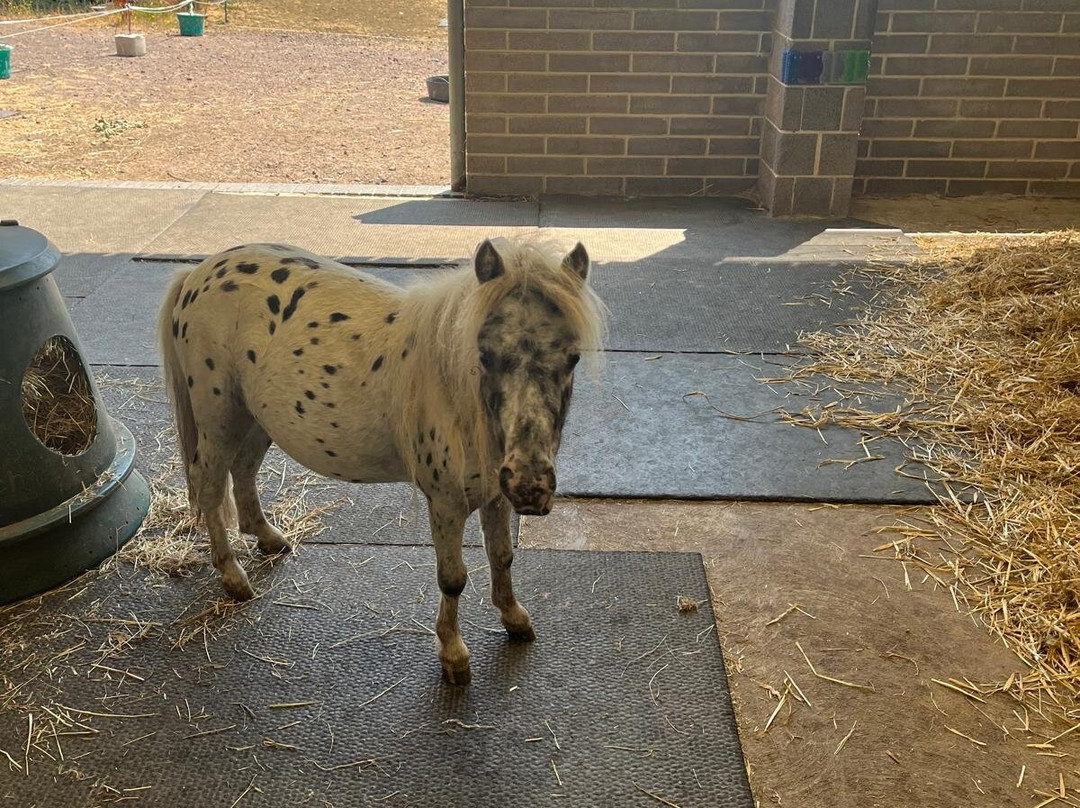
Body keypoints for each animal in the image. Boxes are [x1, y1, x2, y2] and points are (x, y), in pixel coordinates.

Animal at [156, 236, 606, 684]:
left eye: (572, 357)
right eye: (485, 355)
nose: (529, 486)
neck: (456, 394)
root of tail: (197, 273)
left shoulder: (495, 497)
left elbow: (502, 556)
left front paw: (514, 618)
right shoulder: (447, 503)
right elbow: (453, 579)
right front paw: (453, 655)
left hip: (255, 418)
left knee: (243, 469)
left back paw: (268, 538)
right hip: (220, 419)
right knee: (209, 486)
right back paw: (233, 577)